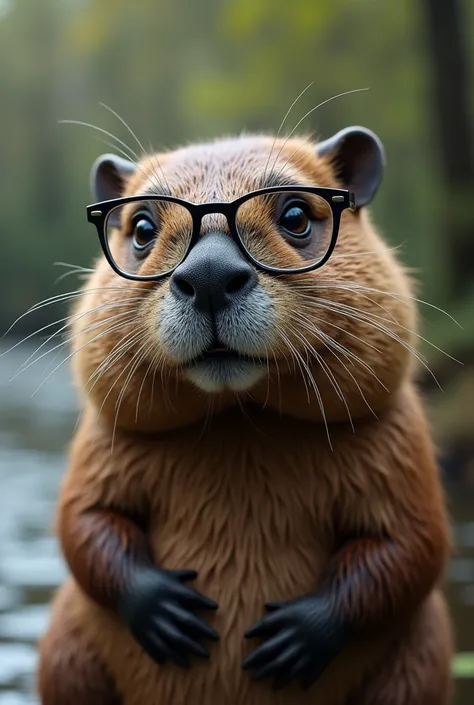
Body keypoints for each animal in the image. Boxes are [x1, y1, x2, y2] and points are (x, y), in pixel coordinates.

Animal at [36, 128, 452, 704]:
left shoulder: (398, 443)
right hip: (67, 652)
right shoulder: (103, 443)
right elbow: (82, 522)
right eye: (141, 227)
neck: (239, 425)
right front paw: (169, 612)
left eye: (296, 215)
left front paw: (292, 636)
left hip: (416, 663)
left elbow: (414, 545)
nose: (210, 276)